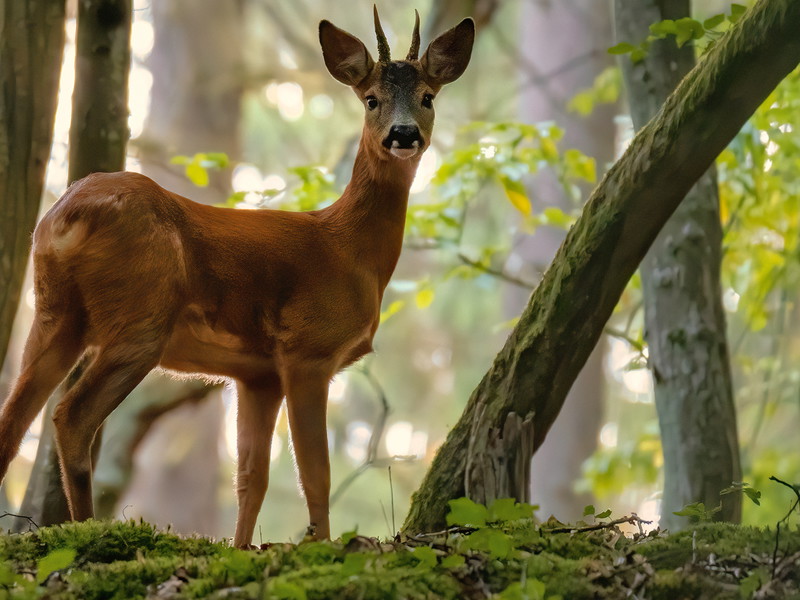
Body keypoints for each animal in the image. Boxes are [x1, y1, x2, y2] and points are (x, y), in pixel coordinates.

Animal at [0, 8, 473, 547]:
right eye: (371, 98)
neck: (350, 249)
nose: (403, 134)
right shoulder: (308, 349)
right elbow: (316, 472)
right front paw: (321, 546)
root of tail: (66, 213)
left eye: (428, 97)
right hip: (140, 318)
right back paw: (88, 531)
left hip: (54, 312)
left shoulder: (257, 374)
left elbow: (251, 477)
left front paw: (243, 548)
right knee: (71, 417)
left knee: (12, 421)